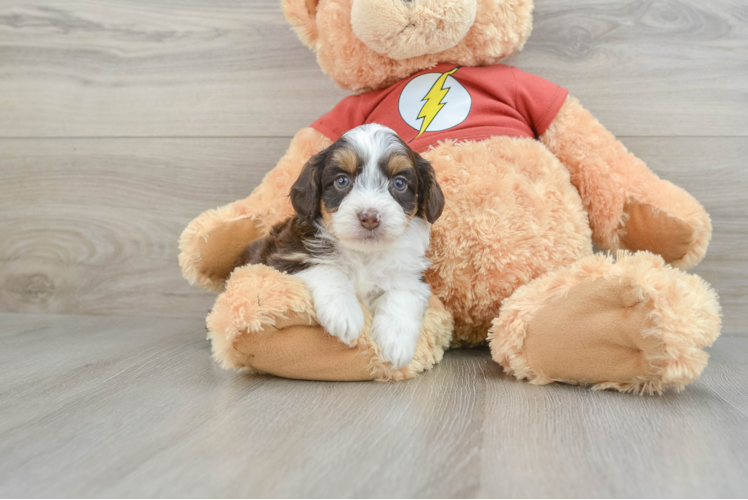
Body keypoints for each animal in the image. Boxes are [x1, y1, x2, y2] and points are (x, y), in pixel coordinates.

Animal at [240, 123, 444, 370]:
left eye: (399, 183)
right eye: (342, 181)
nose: (370, 217)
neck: (364, 254)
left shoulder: (411, 276)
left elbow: (402, 295)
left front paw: (396, 342)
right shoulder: (287, 255)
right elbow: (328, 269)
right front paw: (344, 313)